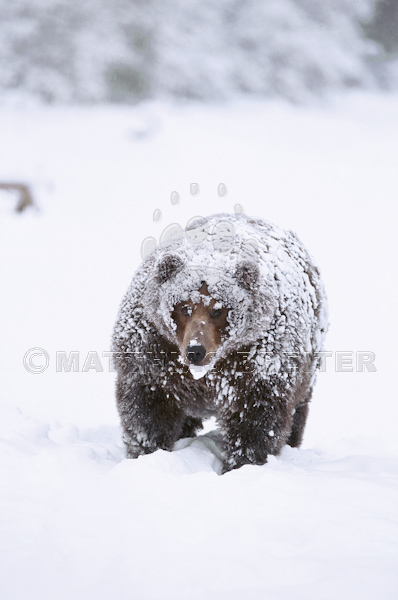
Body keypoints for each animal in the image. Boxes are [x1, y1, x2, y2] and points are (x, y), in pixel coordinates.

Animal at [112, 213, 326, 472]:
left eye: (218, 309)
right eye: (184, 307)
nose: (195, 350)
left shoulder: (259, 360)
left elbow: (255, 421)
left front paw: (242, 464)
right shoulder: (153, 349)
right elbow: (147, 410)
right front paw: (148, 453)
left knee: (299, 408)